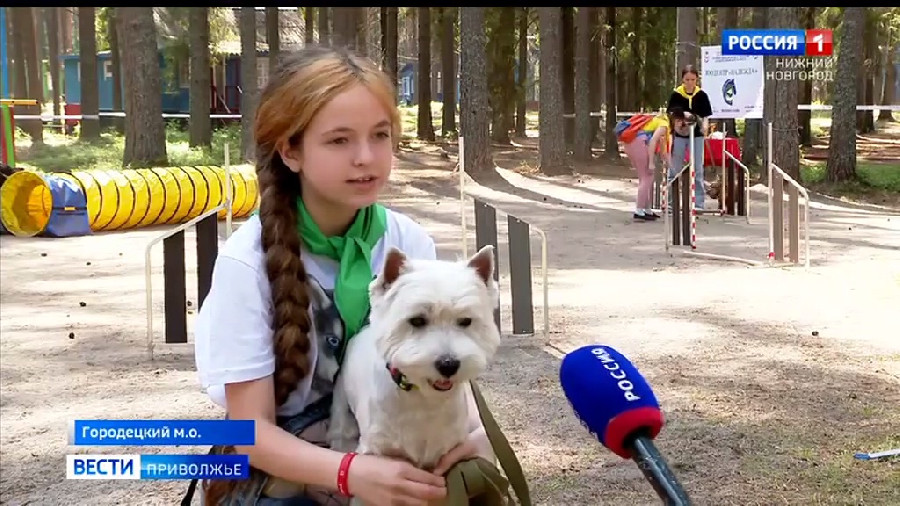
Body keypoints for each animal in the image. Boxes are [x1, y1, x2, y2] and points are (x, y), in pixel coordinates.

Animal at [326, 248, 502, 482]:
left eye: (465, 321)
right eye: (417, 320)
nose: (448, 364)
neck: (423, 399)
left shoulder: (445, 453)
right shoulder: (376, 450)